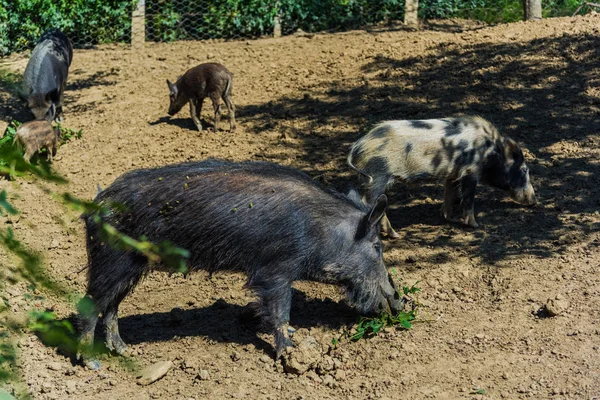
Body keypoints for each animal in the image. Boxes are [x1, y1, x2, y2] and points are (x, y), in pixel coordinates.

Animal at [350, 115, 536, 238]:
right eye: (524, 170)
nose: (534, 201)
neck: (490, 151)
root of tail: (359, 144)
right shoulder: (470, 171)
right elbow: (468, 198)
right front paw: (476, 225)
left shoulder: (453, 174)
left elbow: (449, 194)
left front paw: (449, 219)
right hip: (378, 176)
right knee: (372, 205)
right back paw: (394, 235)